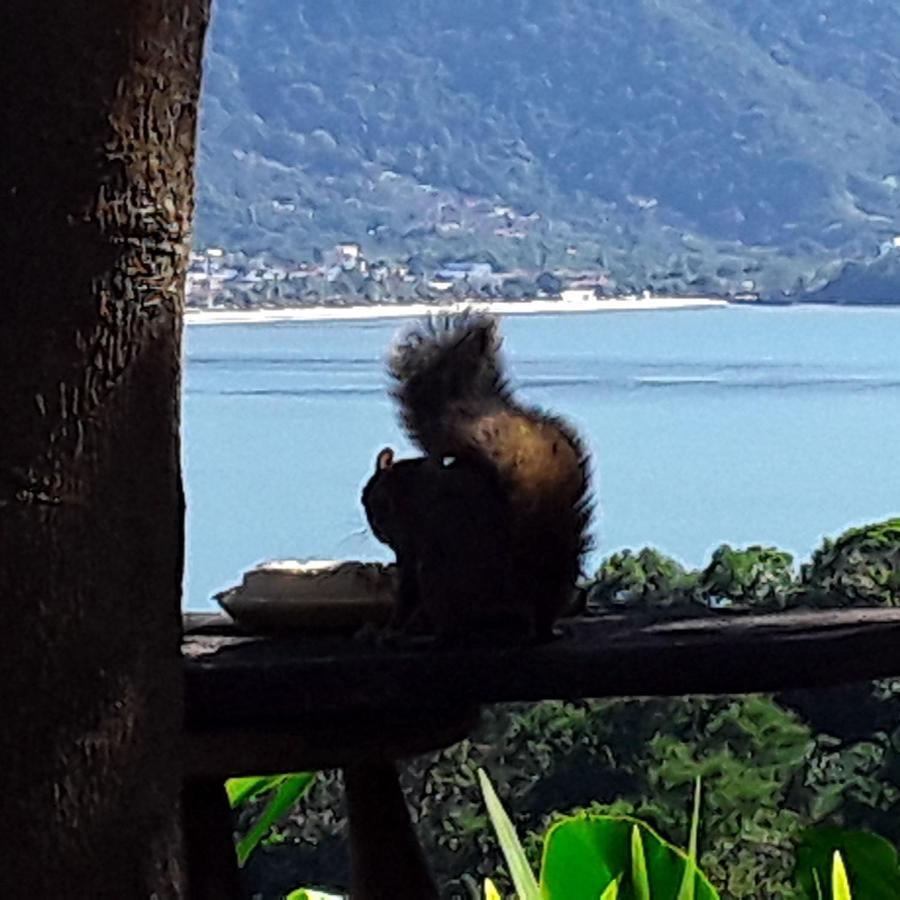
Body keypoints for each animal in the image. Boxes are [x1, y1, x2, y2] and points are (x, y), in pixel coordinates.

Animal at [362, 312, 596, 644]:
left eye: (373, 501)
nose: (378, 529)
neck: (405, 486)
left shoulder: (411, 544)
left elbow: (406, 594)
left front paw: (387, 631)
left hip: (439, 573)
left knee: (451, 630)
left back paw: (421, 636)